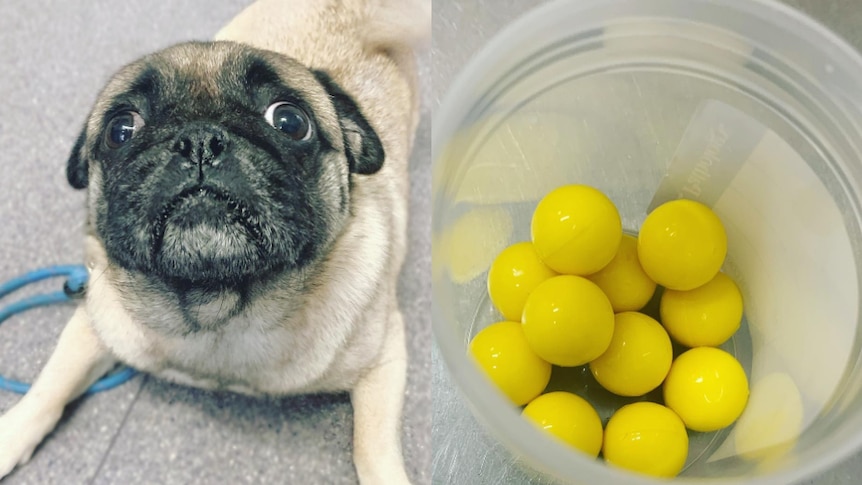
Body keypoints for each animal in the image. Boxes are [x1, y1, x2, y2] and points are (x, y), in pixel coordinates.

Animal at [0, 1, 430, 482]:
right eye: (120, 129)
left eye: (290, 121)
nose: (200, 138)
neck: (217, 312)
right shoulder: (96, 319)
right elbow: (47, 388)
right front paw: (10, 435)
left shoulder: (384, 356)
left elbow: (372, 447)